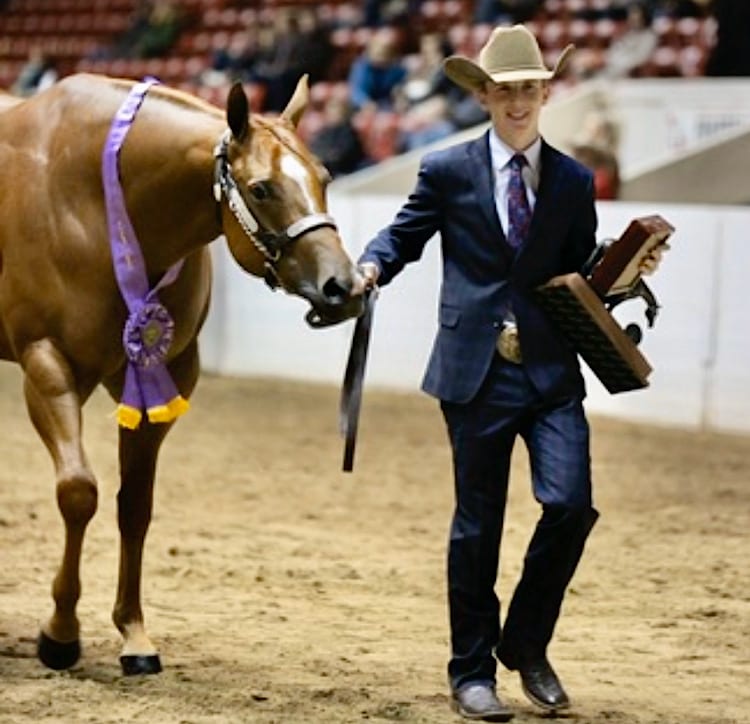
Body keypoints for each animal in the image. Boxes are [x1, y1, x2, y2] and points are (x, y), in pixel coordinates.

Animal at [0, 73, 368, 672]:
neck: (93, 200)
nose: (344, 286)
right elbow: (78, 492)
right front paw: (60, 633)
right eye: (261, 189)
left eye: (325, 177)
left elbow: (135, 506)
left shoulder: (163, 375)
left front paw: (133, 634)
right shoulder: (46, 364)